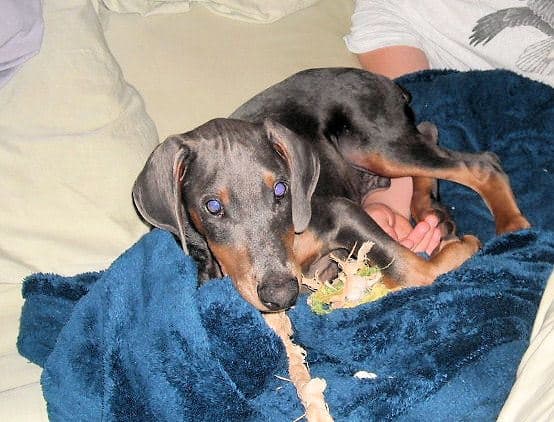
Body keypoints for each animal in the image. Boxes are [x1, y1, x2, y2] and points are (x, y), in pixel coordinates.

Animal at [132, 68, 528, 314]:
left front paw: (460, 249)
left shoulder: (339, 212)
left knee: (479, 164)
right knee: (430, 135)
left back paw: (512, 227)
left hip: (374, 143)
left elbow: (414, 271)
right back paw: (432, 211)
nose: (281, 296)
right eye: (212, 206)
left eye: (282, 189)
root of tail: (384, 82)